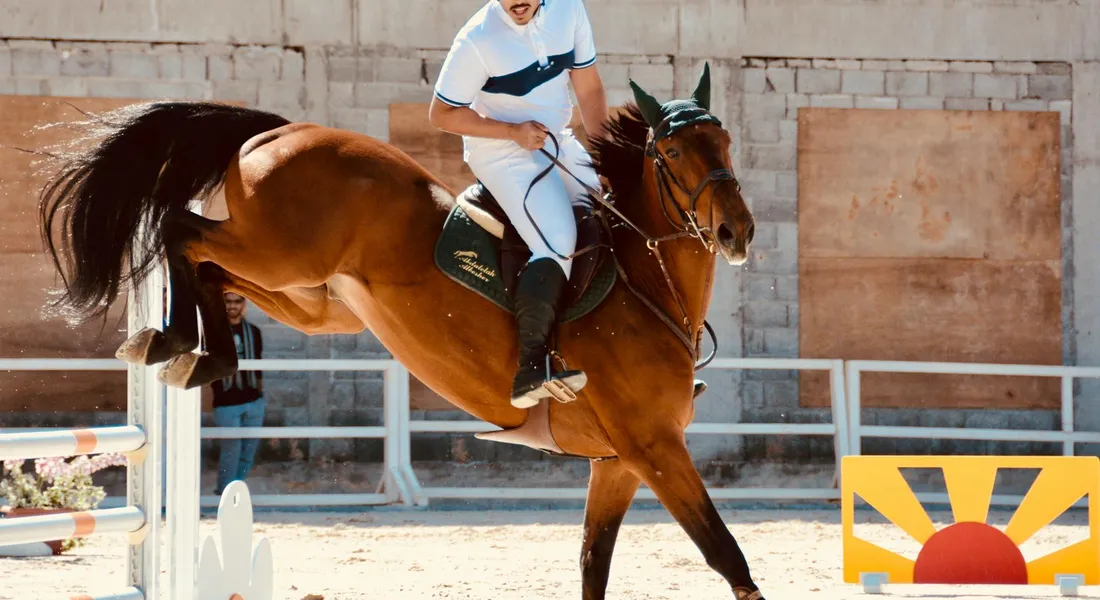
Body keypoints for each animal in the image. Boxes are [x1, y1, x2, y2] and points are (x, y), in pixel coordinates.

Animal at [36, 63, 761, 599]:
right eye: (672, 151)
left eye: (725, 144)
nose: (737, 232)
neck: (646, 282)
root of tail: (281, 131)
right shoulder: (653, 448)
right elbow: (727, 556)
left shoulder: (616, 464)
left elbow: (593, 567)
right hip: (282, 254)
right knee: (179, 229)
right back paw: (174, 343)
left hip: (312, 296)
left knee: (211, 267)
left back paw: (190, 350)